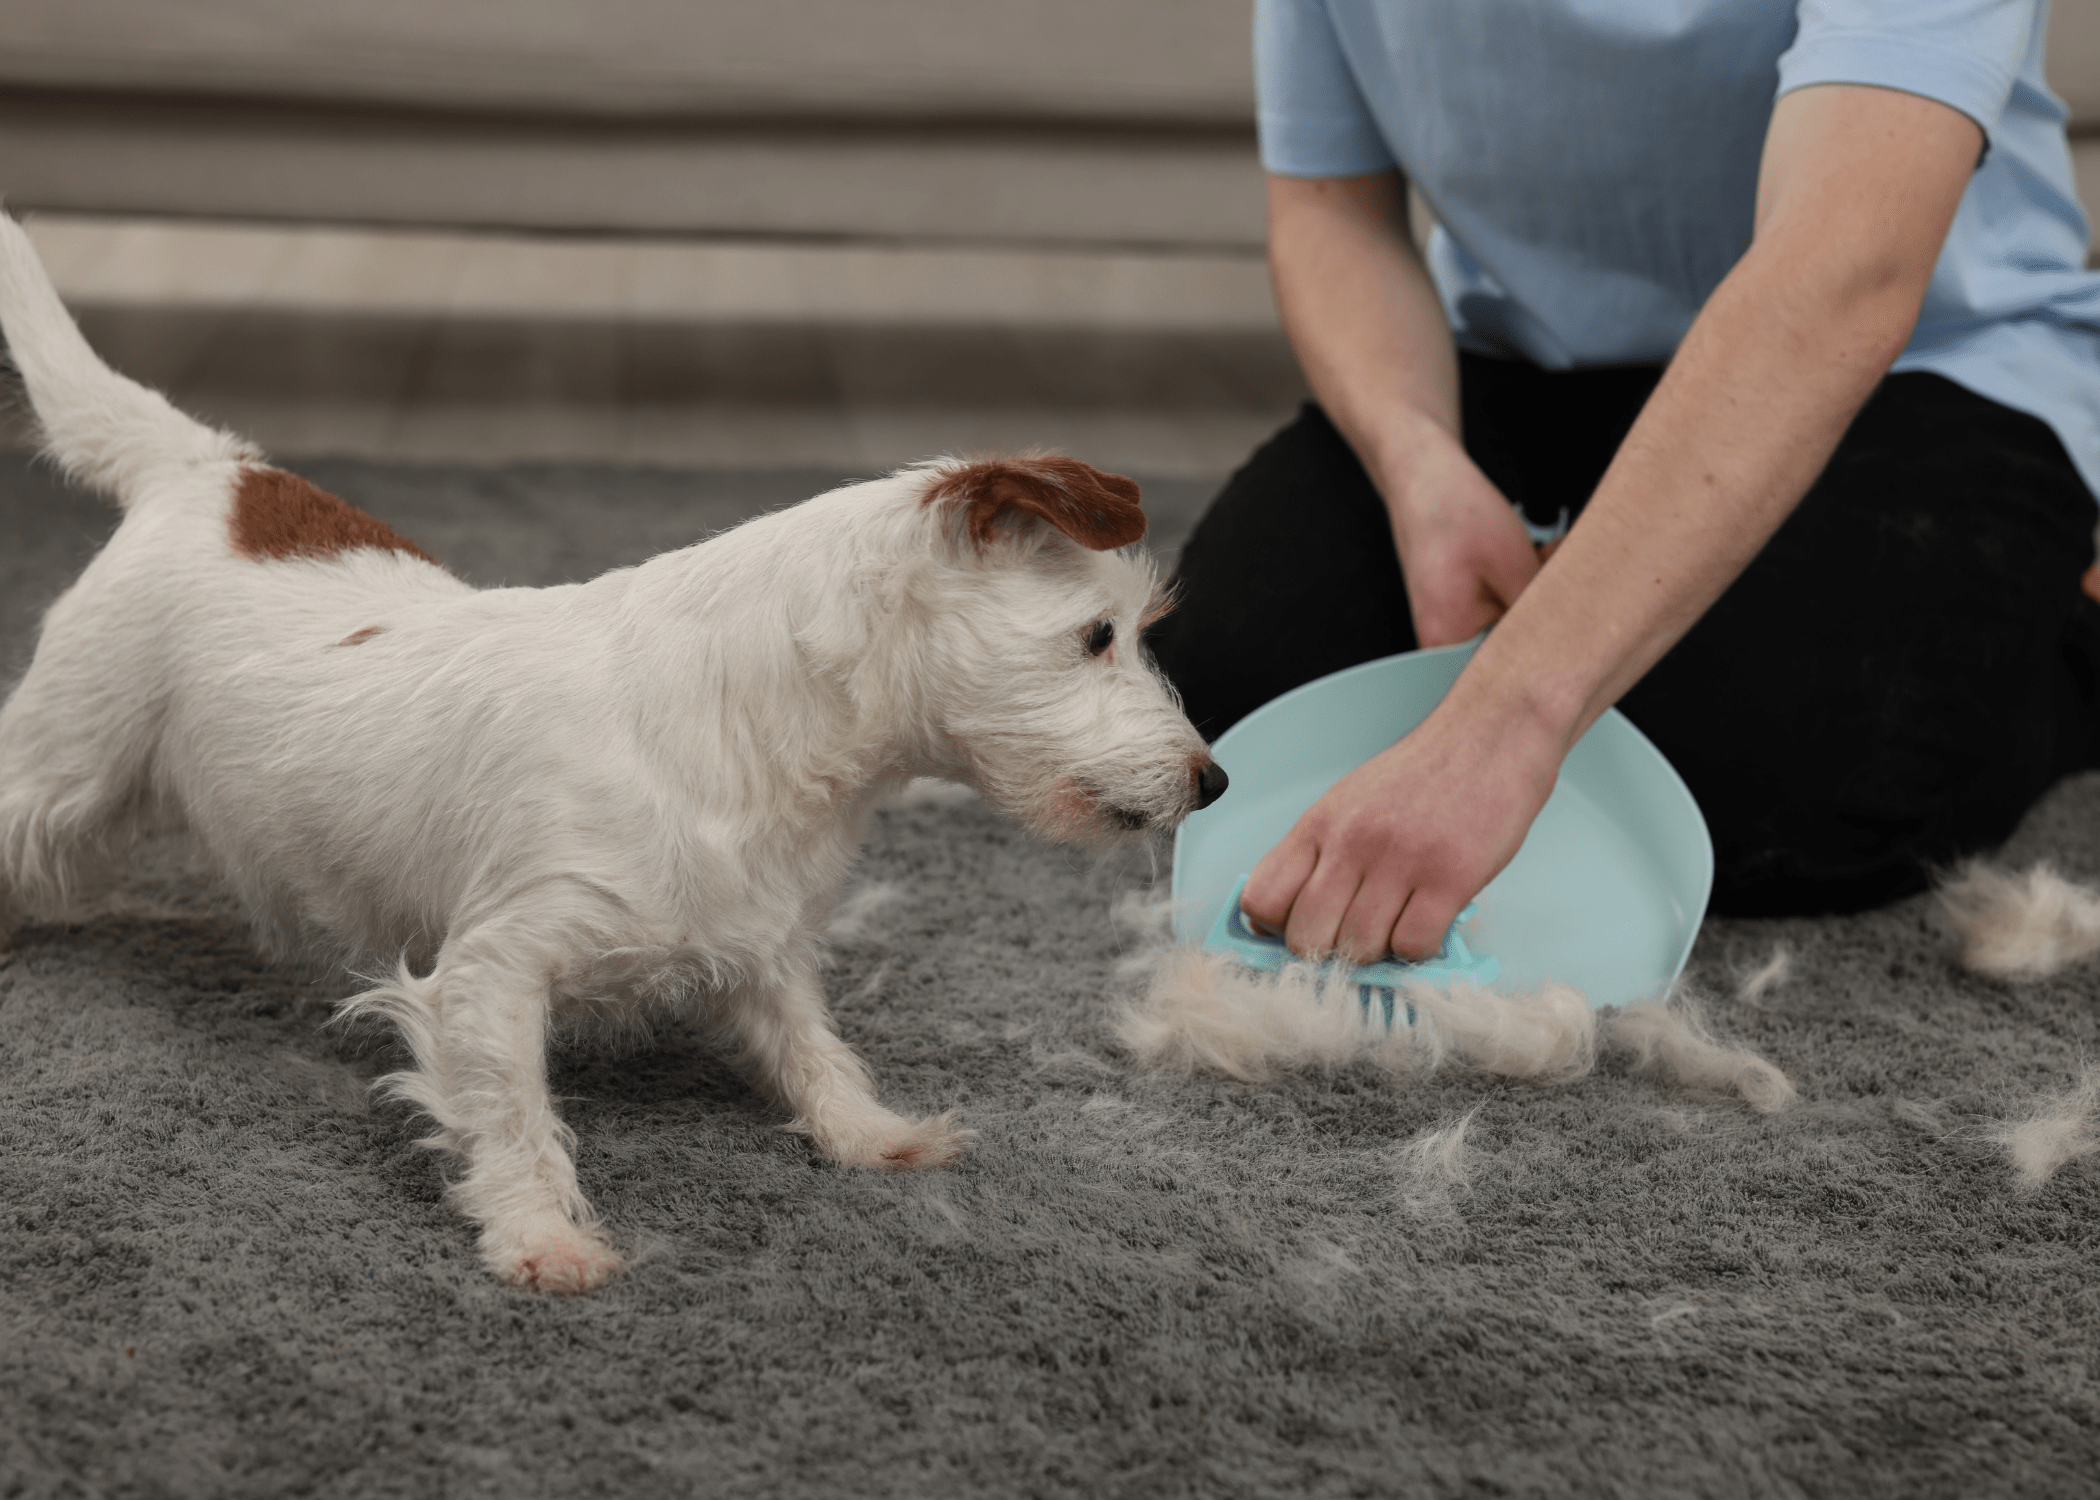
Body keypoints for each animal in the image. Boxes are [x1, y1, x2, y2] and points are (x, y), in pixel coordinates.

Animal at [0, 210, 1226, 1285]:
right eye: (1099, 635)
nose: (1213, 780)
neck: (760, 729)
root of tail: (211, 475)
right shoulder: (494, 970)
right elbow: (515, 1116)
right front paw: (543, 1240)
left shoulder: (761, 941)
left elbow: (811, 1043)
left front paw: (869, 1135)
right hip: (61, 769)